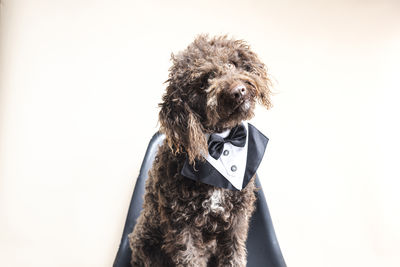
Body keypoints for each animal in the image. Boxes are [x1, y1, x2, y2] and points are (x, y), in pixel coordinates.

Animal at [128, 34, 272, 266]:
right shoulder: (182, 228)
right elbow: (189, 257)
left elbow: (234, 255)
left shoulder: (236, 221)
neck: (221, 141)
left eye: (232, 63)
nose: (238, 90)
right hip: (146, 243)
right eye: (203, 82)